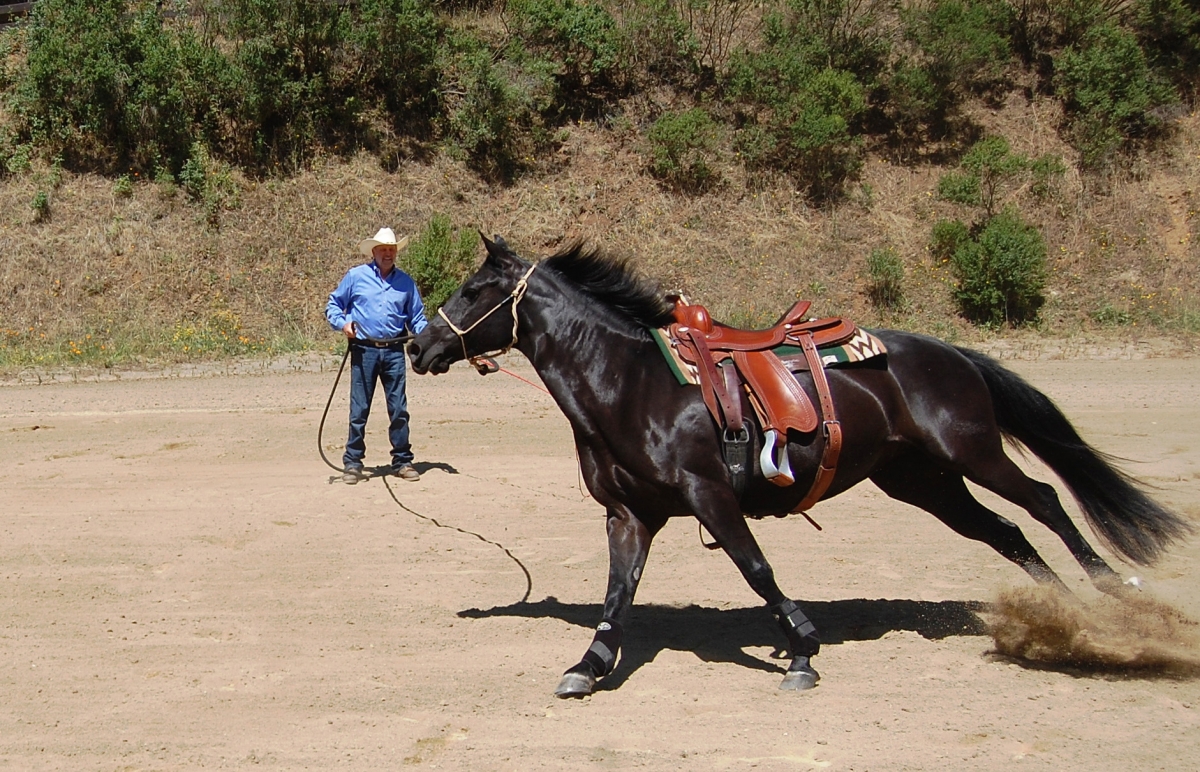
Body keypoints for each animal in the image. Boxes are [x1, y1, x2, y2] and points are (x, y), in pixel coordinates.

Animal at [407, 235, 1191, 698]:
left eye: (473, 292)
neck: (629, 384)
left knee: (1044, 502)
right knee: (1006, 532)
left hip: (970, 451)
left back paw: (1110, 589)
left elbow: (756, 569)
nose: (416, 346)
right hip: (924, 482)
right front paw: (589, 666)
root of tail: (950, 352)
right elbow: (616, 593)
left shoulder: (709, 494)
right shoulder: (630, 513)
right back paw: (1065, 610)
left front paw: (803, 652)